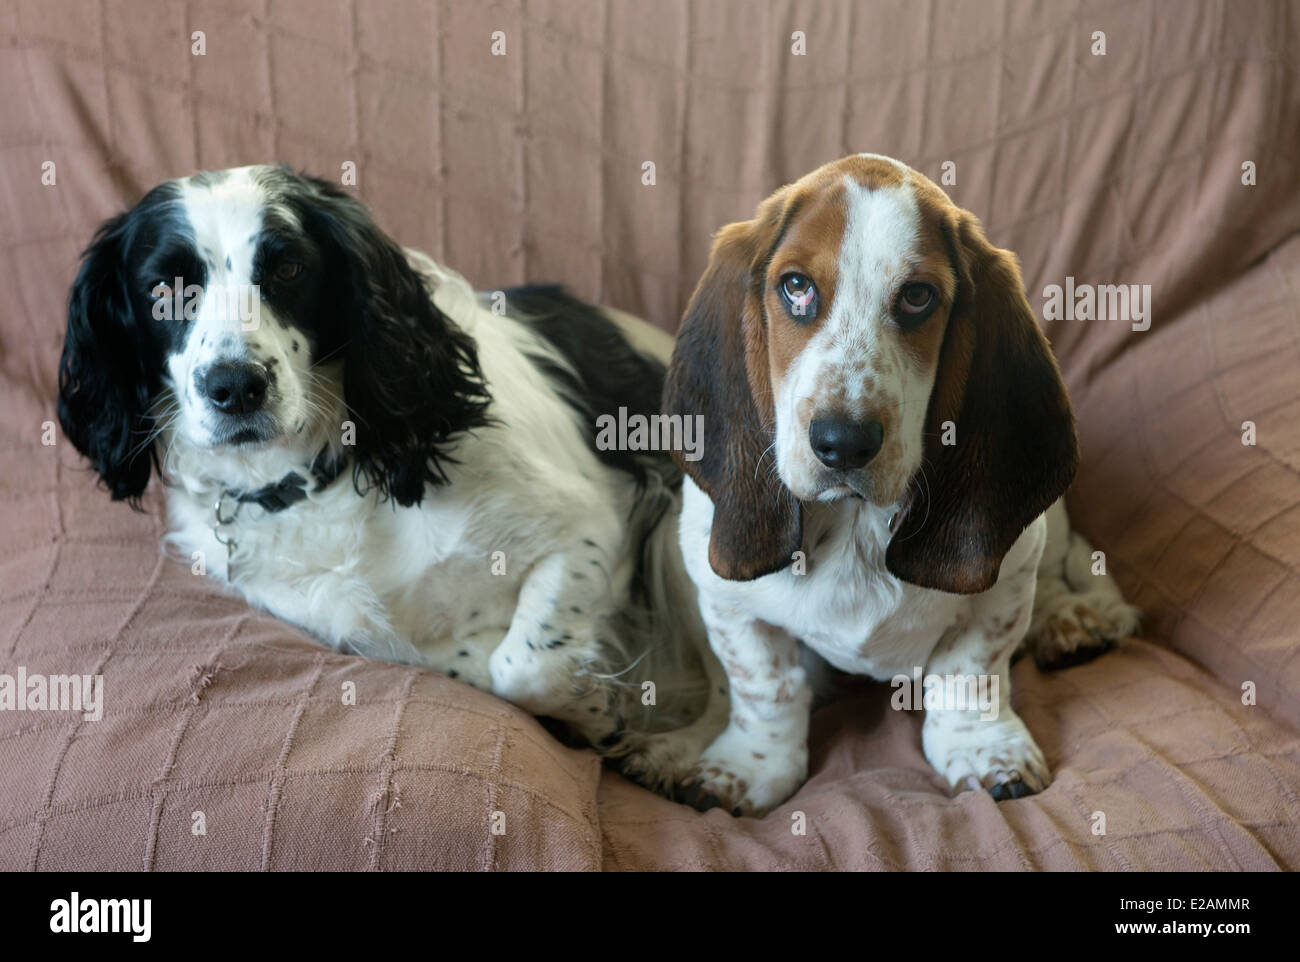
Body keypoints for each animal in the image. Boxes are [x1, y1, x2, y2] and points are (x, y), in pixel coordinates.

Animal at [55, 163, 728, 780]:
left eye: (289, 269)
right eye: (161, 287)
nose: (235, 386)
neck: (326, 477)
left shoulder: (586, 525)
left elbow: (526, 667)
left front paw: (598, 711)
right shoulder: (349, 622)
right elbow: (473, 662)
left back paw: (689, 762)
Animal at [665, 154, 1133, 816]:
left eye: (917, 297)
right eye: (795, 286)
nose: (843, 442)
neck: (853, 522)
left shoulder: (1006, 581)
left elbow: (972, 669)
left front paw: (984, 750)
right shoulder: (724, 599)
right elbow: (763, 685)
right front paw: (746, 767)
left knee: (1067, 568)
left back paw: (1072, 622)